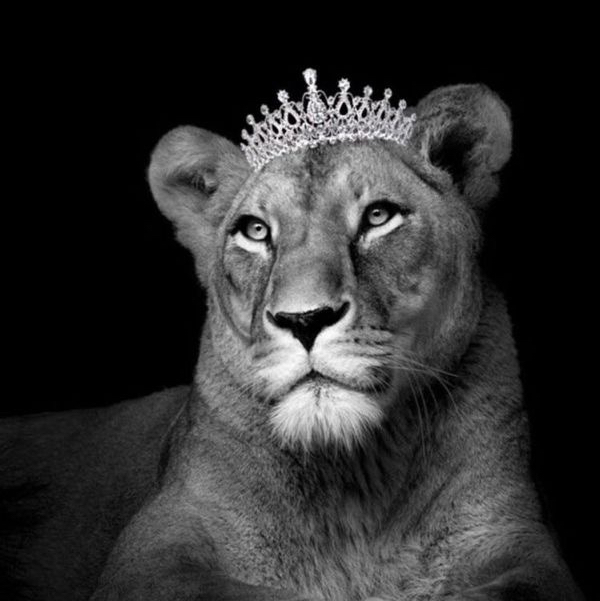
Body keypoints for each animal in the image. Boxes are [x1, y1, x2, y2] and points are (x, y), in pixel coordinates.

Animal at [0, 82, 584, 600]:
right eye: (255, 230)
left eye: (378, 216)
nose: (304, 319)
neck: (357, 478)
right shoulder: (154, 553)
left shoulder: (520, 543)